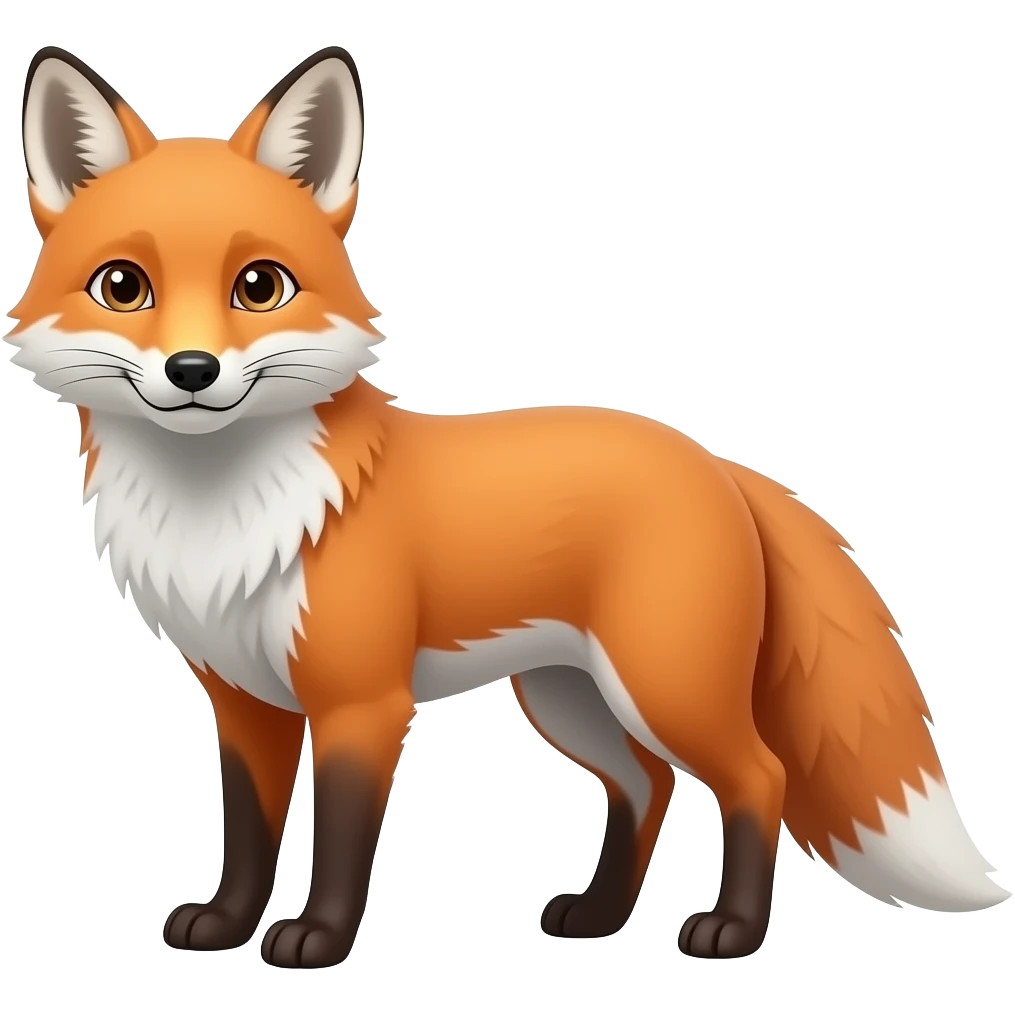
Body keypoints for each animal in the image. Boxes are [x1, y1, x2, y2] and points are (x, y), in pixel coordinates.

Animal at [6, 42, 1008, 969]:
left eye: (258, 285)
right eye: (123, 286)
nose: (192, 371)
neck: (222, 509)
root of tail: (715, 461)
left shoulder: (362, 703)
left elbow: (341, 841)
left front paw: (317, 939)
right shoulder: (246, 701)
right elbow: (248, 834)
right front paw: (223, 925)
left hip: (663, 685)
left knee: (757, 776)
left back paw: (729, 930)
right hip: (570, 697)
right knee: (647, 787)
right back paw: (597, 916)